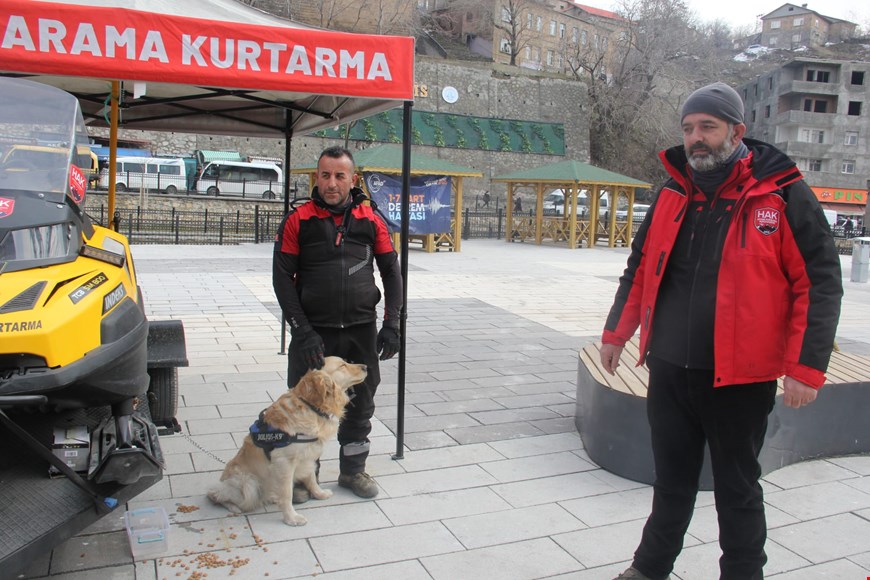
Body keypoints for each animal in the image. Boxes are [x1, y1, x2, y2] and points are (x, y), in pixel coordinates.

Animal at [209, 358, 368, 524]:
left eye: (346, 362)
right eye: (342, 365)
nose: (365, 366)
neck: (311, 407)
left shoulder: (308, 457)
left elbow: (311, 478)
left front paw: (319, 493)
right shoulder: (284, 462)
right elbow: (287, 494)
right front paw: (291, 517)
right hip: (248, 483)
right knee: (216, 495)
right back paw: (233, 507)